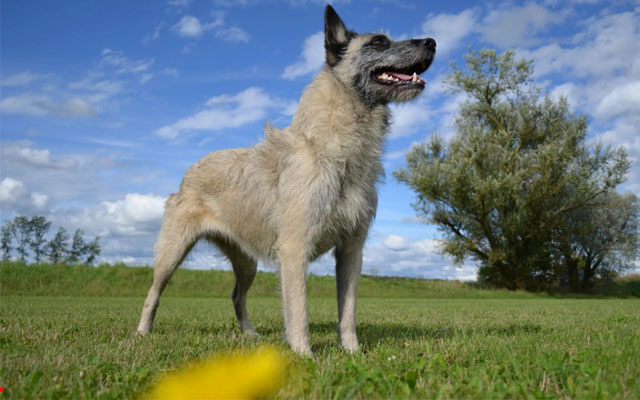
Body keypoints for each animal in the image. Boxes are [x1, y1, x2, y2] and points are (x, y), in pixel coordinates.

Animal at [137, 4, 432, 354]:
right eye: (378, 42)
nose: (432, 42)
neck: (333, 150)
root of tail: (190, 170)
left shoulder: (351, 251)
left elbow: (347, 312)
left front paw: (352, 353)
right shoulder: (294, 250)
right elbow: (298, 312)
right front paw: (304, 355)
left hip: (246, 263)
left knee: (237, 295)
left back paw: (250, 335)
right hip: (171, 254)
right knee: (152, 294)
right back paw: (142, 333)